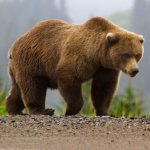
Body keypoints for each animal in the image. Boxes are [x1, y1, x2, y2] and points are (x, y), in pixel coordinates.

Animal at [5, 17, 144, 116]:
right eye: (126, 54)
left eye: (137, 55)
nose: (135, 70)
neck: (96, 55)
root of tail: (13, 47)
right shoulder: (78, 56)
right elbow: (69, 78)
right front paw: (70, 111)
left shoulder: (105, 68)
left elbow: (103, 87)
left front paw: (105, 112)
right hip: (31, 61)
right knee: (33, 86)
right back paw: (42, 111)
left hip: (20, 67)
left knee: (18, 88)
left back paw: (13, 109)